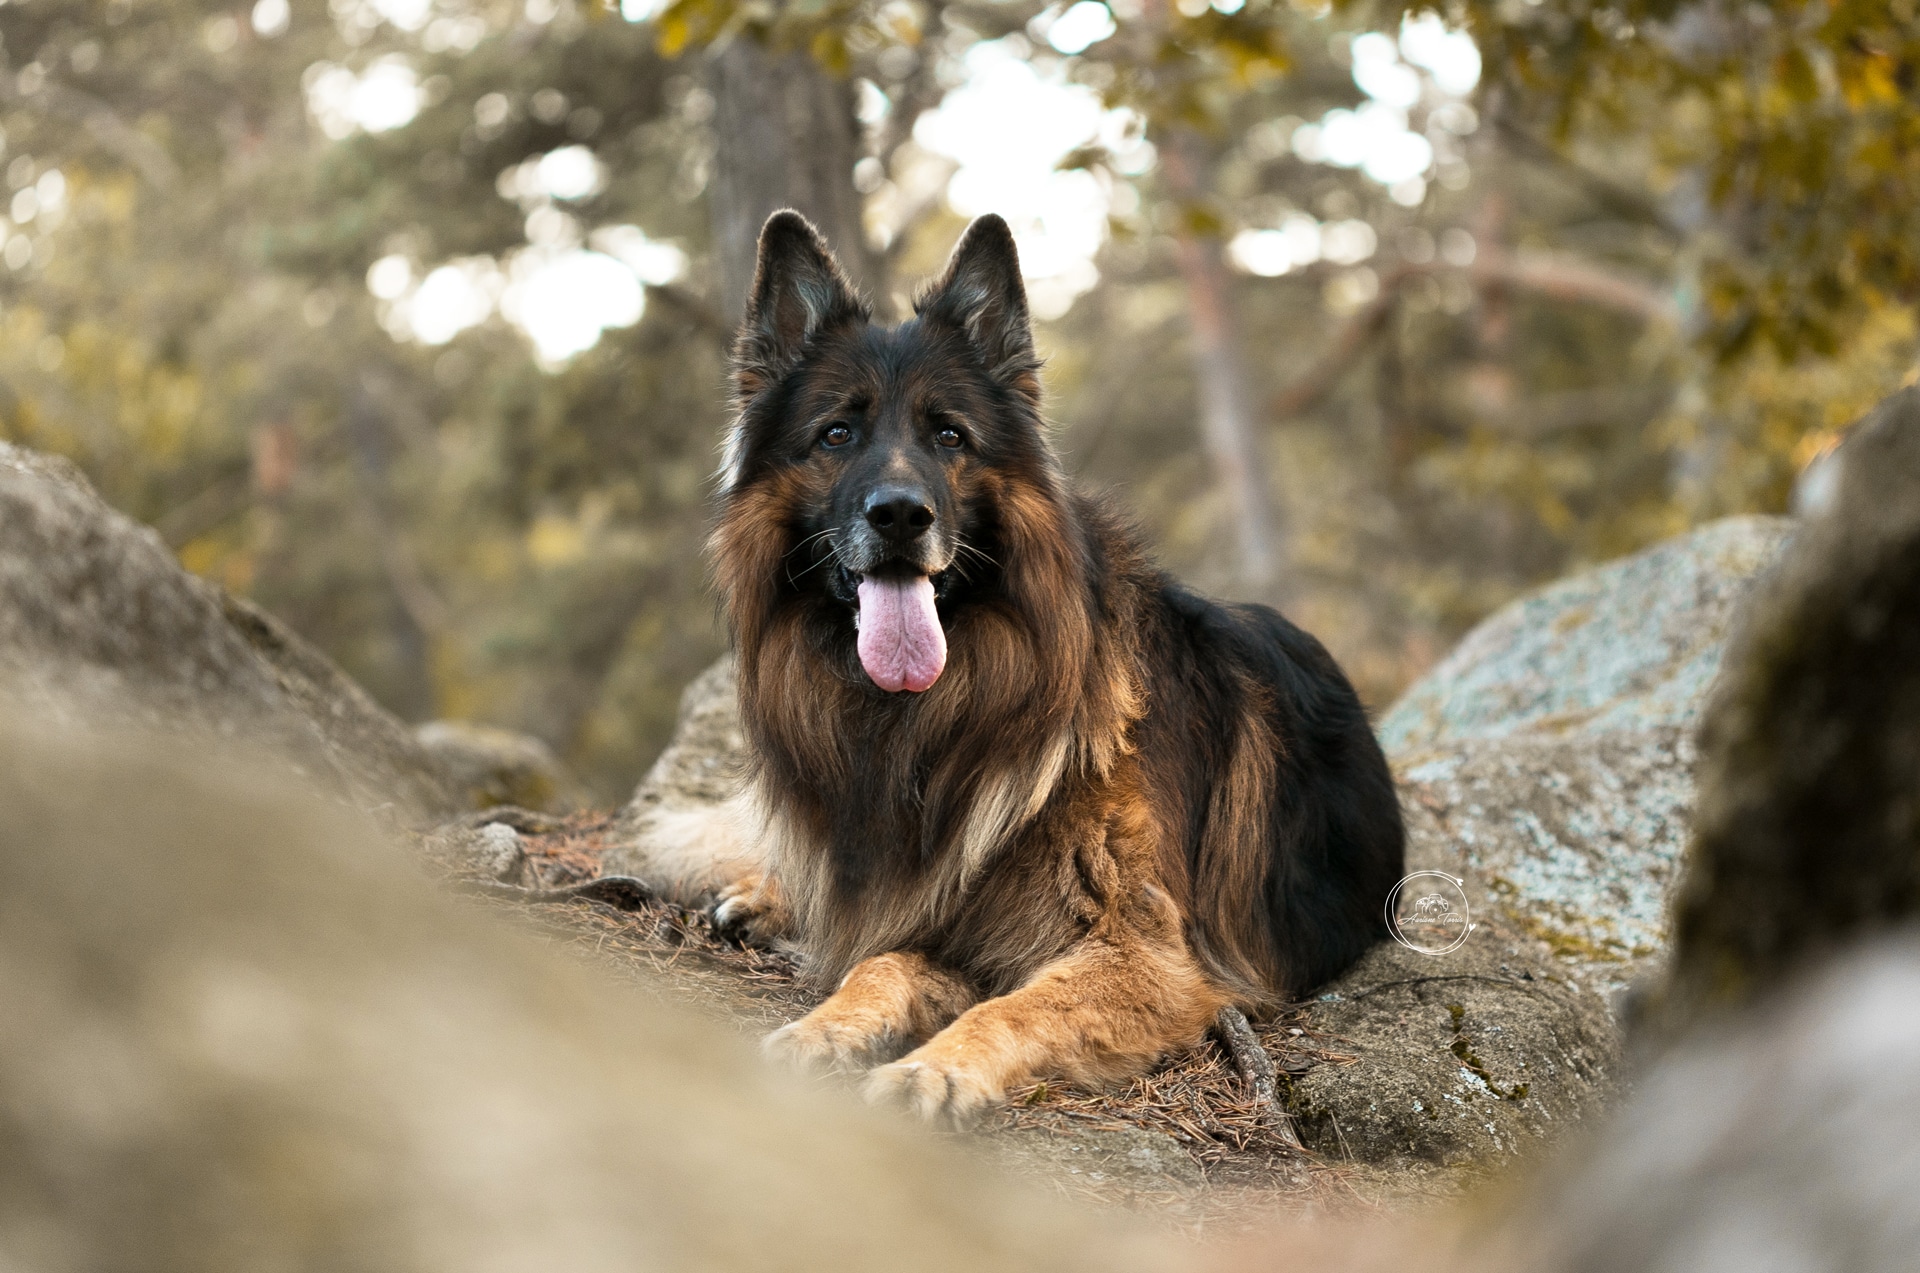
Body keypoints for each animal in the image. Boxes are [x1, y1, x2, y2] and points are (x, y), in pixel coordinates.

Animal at [698, 209, 1405, 1128]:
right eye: (837, 434)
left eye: (949, 434)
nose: (901, 515)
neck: (941, 717)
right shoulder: (939, 921)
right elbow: (877, 962)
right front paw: (823, 1027)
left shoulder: (1145, 959)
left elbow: (1013, 1004)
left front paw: (935, 1069)